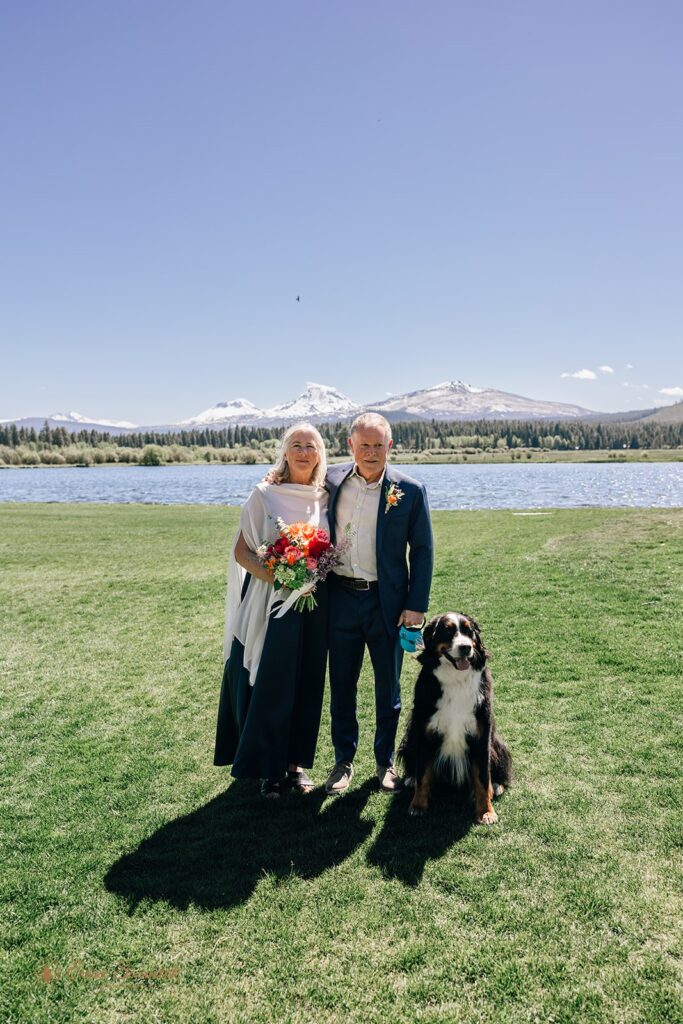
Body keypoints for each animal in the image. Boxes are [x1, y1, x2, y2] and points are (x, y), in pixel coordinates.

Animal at [401, 606, 511, 823]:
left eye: (469, 632)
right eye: (447, 631)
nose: (466, 647)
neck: (456, 679)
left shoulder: (482, 734)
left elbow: (483, 777)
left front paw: (486, 811)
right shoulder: (424, 730)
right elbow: (423, 773)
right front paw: (417, 805)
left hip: (497, 743)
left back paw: (497, 785)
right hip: (411, 733)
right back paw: (410, 778)